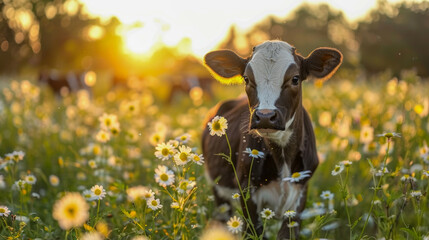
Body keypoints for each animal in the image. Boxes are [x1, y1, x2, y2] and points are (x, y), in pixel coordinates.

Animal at [201, 40, 342, 239]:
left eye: (295, 79)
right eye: (246, 79)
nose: (265, 116)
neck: (282, 156)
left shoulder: (301, 191)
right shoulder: (247, 191)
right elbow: (253, 232)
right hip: (219, 192)